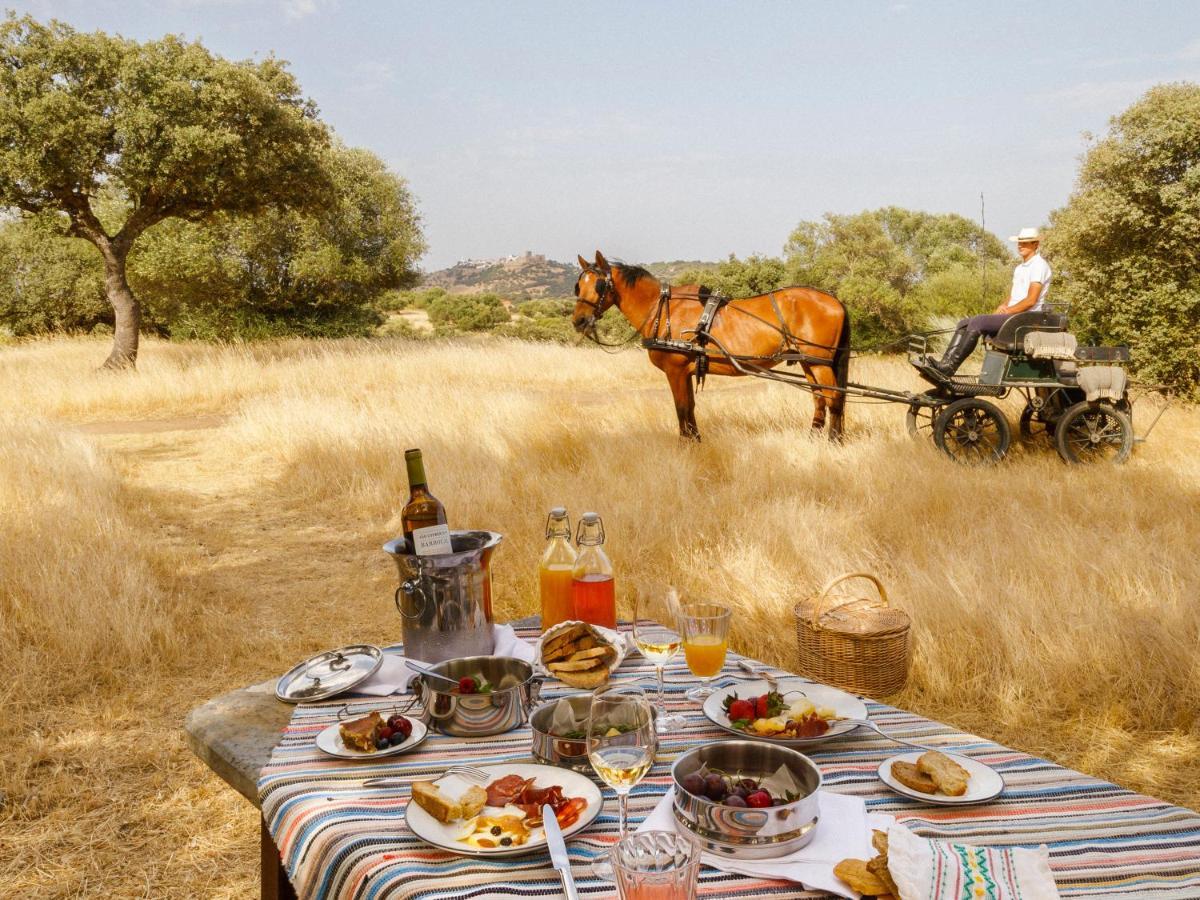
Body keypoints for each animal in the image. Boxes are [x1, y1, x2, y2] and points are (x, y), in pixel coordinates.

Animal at [573, 250, 849, 441]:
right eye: (578, 286)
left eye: (599, 285)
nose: (579, 320)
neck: (662, 310)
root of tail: (835, 300)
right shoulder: (685, 372)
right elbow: (690, 408)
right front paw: (696, 442)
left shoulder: (675, 371)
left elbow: (682, 408)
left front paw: (684, 447)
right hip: (809, 362)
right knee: (819, 399)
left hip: (819, 362)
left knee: (834, 397)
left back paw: (834, 442)